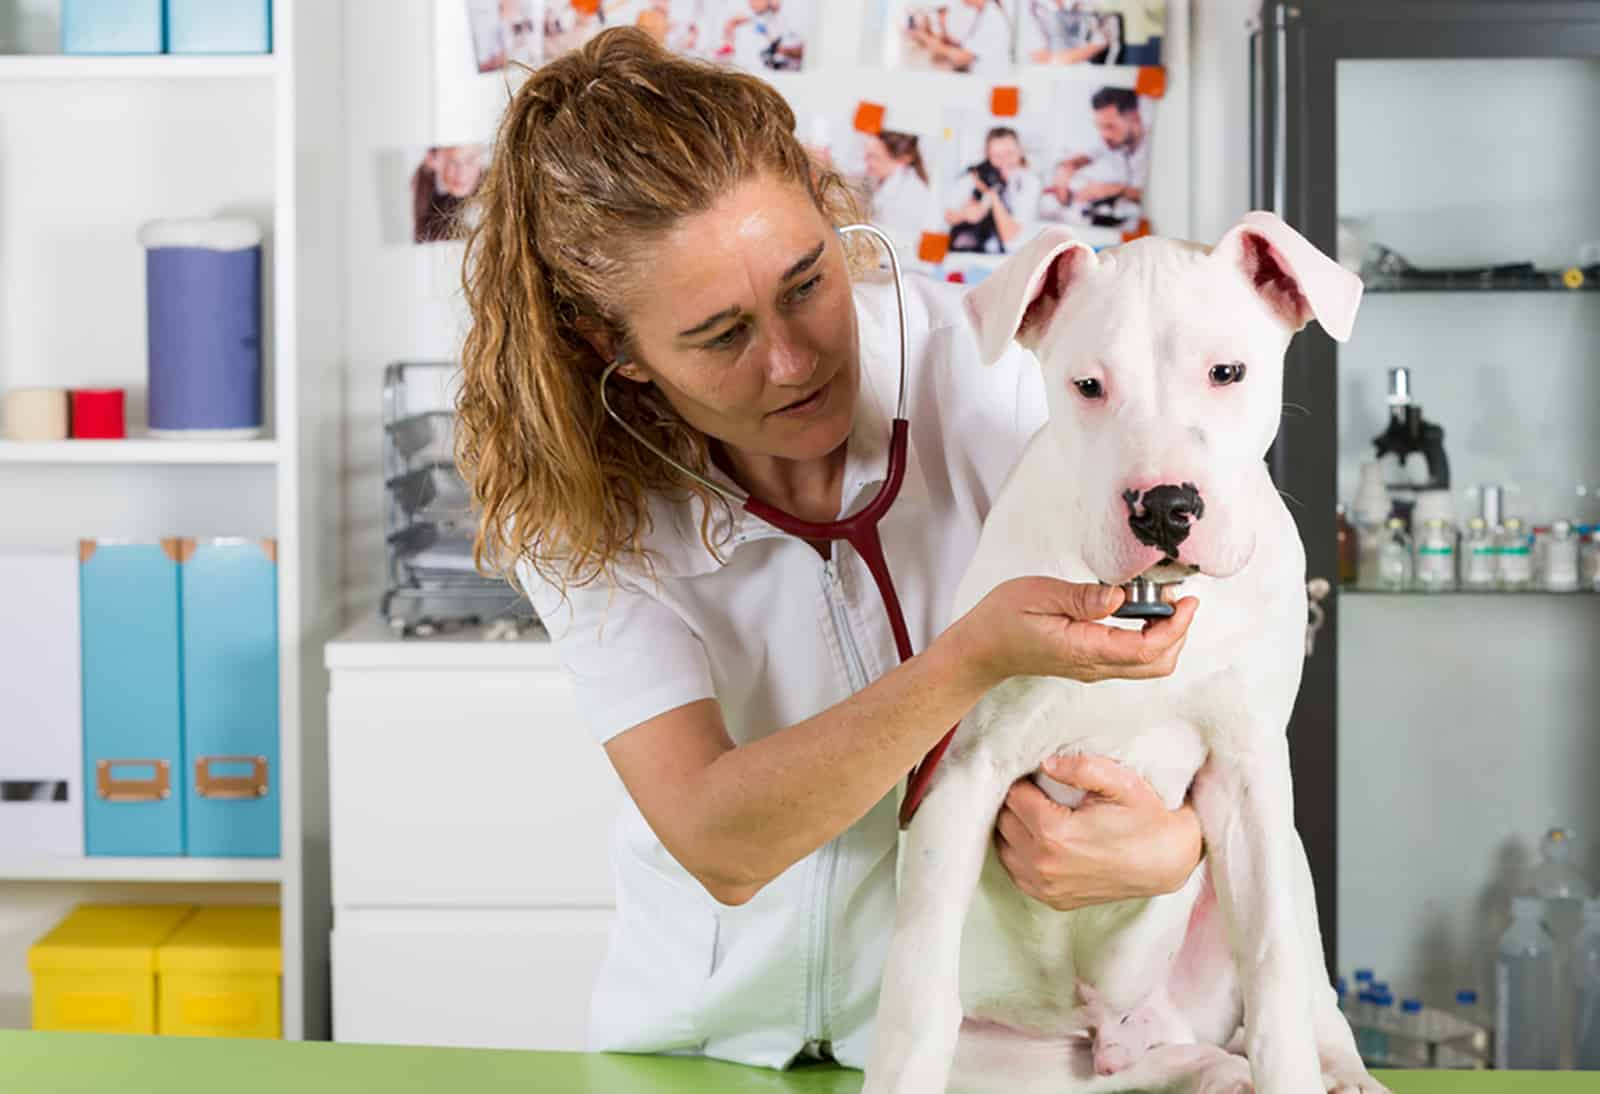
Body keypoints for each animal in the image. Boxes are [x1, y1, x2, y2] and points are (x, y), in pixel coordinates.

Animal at [864, 214, 1388, 1094]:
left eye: (1226, 372)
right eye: (1087, 386)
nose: (1166, 507)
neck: (1151, 607)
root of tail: (1108, 1033)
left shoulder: (1249, 779)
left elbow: (1276, 971)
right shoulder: (962, 772)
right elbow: (916, 998)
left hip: (1286, 860)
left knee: (1306, 989)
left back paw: (1334, 1071)